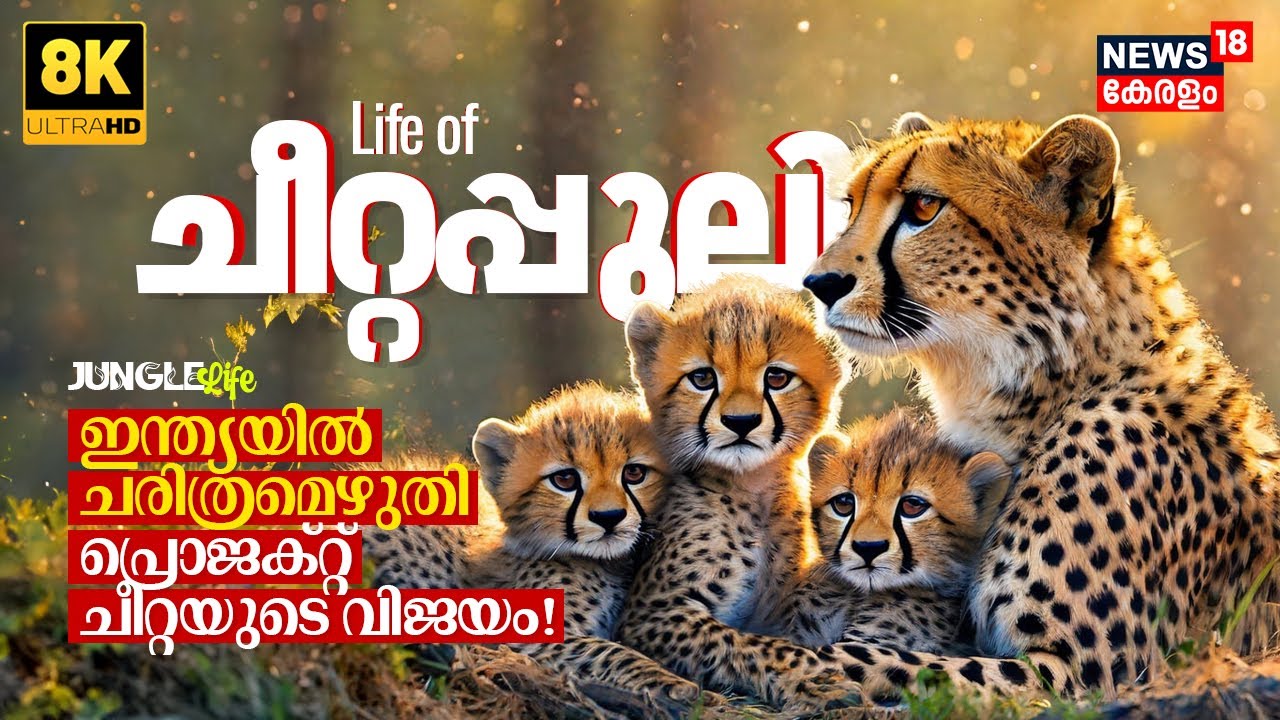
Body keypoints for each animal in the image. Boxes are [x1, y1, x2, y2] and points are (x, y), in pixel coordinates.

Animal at [357, 383, 716, 708]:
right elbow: (610, 653)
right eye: (565, 480)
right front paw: (682, 687)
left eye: (635, 473)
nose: (608, 517)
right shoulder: (525, 638)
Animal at [616, 273, 864, 710]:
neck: (753, 490)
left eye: (777, 378)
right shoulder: (652, 612)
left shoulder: (775, 608)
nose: (741, 421)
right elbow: (751, 645)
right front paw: (815, 682)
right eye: (702, 378)